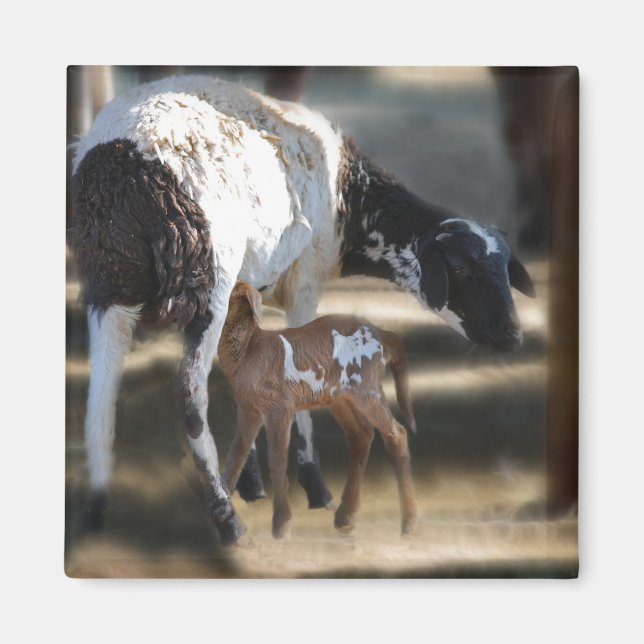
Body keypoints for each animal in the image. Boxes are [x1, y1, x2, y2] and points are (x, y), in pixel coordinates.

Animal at [219, 281, 417, 539]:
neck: (249, 350)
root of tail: (382, 334)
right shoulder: (248, 407)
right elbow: (236, 455)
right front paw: (225, 515)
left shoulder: (280, 405)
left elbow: (277, 458)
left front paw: (281, 525)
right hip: (340, 397)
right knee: (361, 435)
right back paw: (346, 517)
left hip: (368, 389)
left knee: (397, 433)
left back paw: (409, 523)